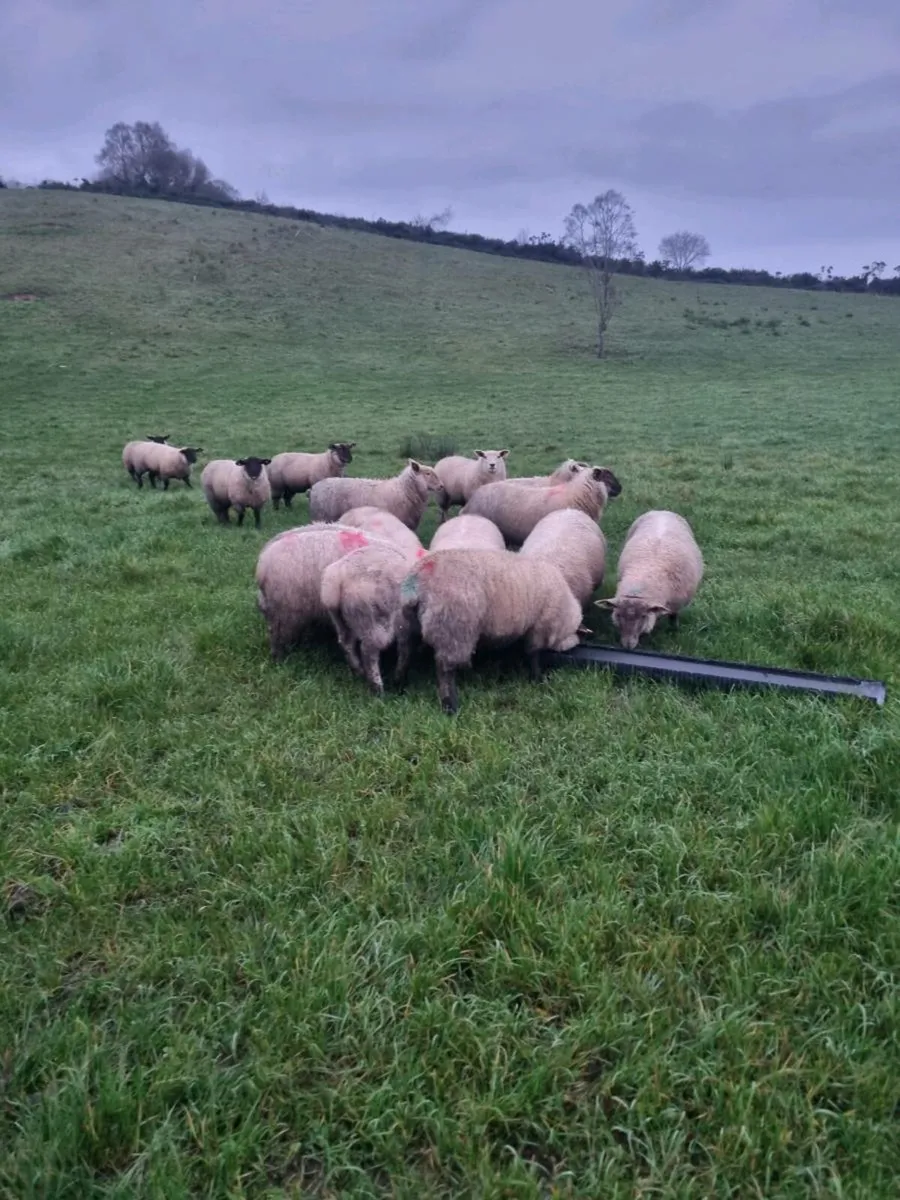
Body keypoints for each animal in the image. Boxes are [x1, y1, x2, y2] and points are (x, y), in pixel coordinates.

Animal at [398, 548, 587, 714]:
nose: (574, 645)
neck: (565, 611)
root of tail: (418, 580)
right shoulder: (539, 626)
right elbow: (533, 653)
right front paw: (538, 678)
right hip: (453, 629)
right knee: (445, 670)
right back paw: (450, 705)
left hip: (408, 626)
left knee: (405, 655)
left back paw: (400, 684)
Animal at [596, 510, 704, 649]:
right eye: (619, 615)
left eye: (643, 616)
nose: (628, 645)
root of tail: (662, 511)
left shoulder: (676, 605)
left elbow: (673, 617)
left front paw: (673, 630)